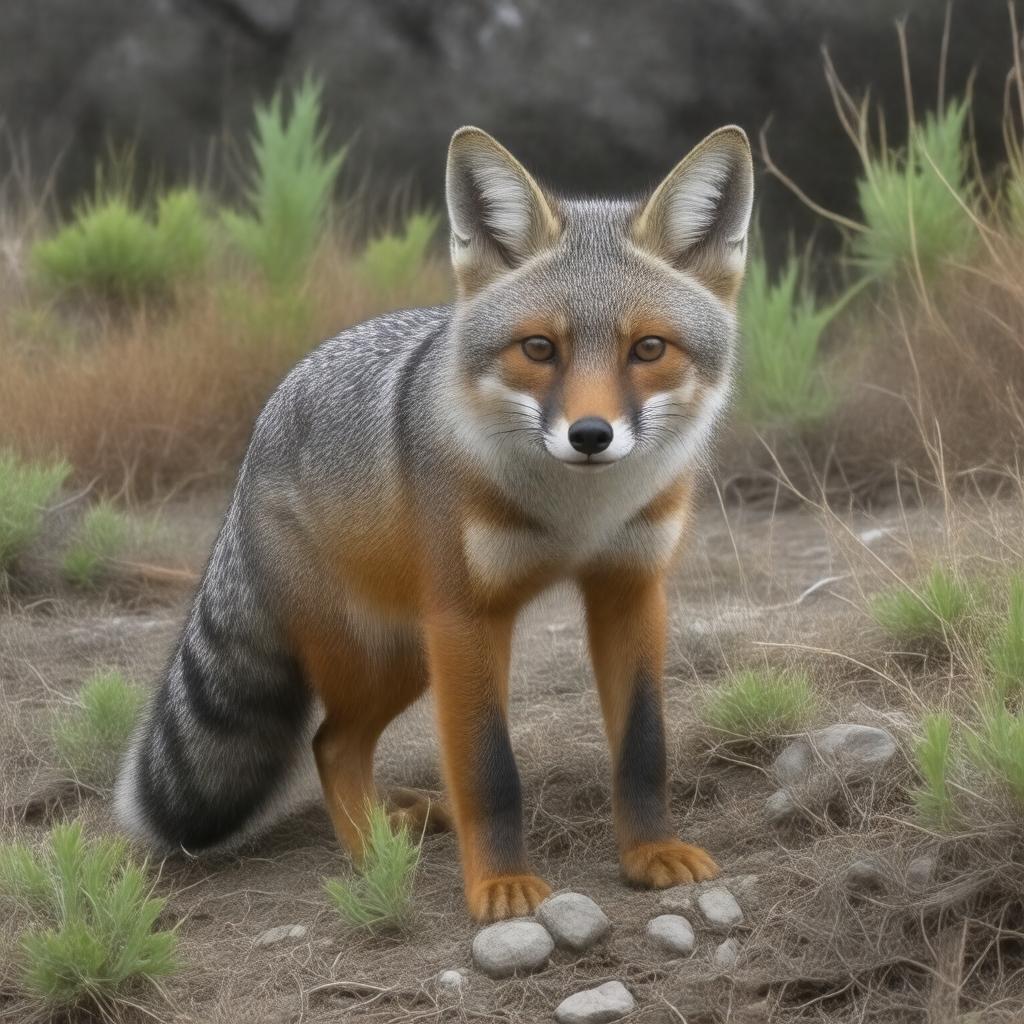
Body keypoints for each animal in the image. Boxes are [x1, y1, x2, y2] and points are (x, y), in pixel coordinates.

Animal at [115, 123, 754, 922]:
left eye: (649, 349)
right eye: (539, 348)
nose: (590, 436)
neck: (577, 517)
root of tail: (254, 449)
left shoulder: (630, 592)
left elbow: (643, 746)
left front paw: (649, 853)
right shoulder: (465, 615)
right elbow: (488, 771)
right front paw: (500, 887)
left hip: (415, 659)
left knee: (337, 742)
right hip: (394, 653)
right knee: (331, 744)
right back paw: (374, 862)